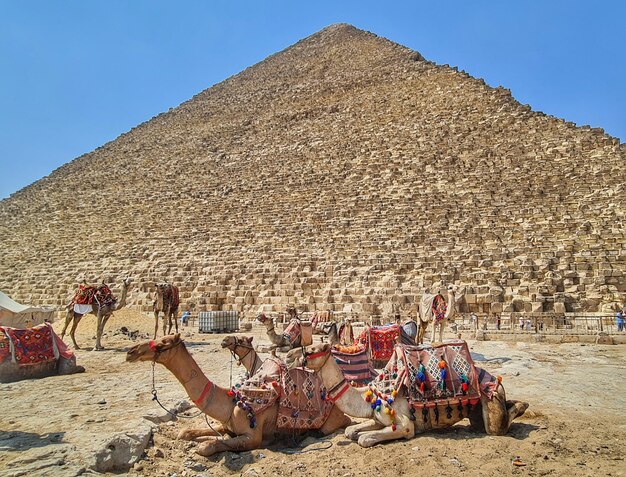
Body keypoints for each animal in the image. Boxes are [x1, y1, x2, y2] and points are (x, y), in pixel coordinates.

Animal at [125, 332, 352, 456]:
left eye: (162, 344)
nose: (131, 351)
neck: (231, 402)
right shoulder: (226, 424)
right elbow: (186, 432)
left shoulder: (252, 438)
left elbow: (207, 446)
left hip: (330, 422)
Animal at [300, 342, 528, 446]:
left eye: (313, 350)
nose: (298, 357)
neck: (368, 396)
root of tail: (496, 381)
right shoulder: (378, 416)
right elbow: (350, 431)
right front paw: (354, 432)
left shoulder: (403, 422)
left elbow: (365, 438)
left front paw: (365, 437)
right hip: (476, 414)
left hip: (490, 406)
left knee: (499, 426)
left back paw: (523, 405)